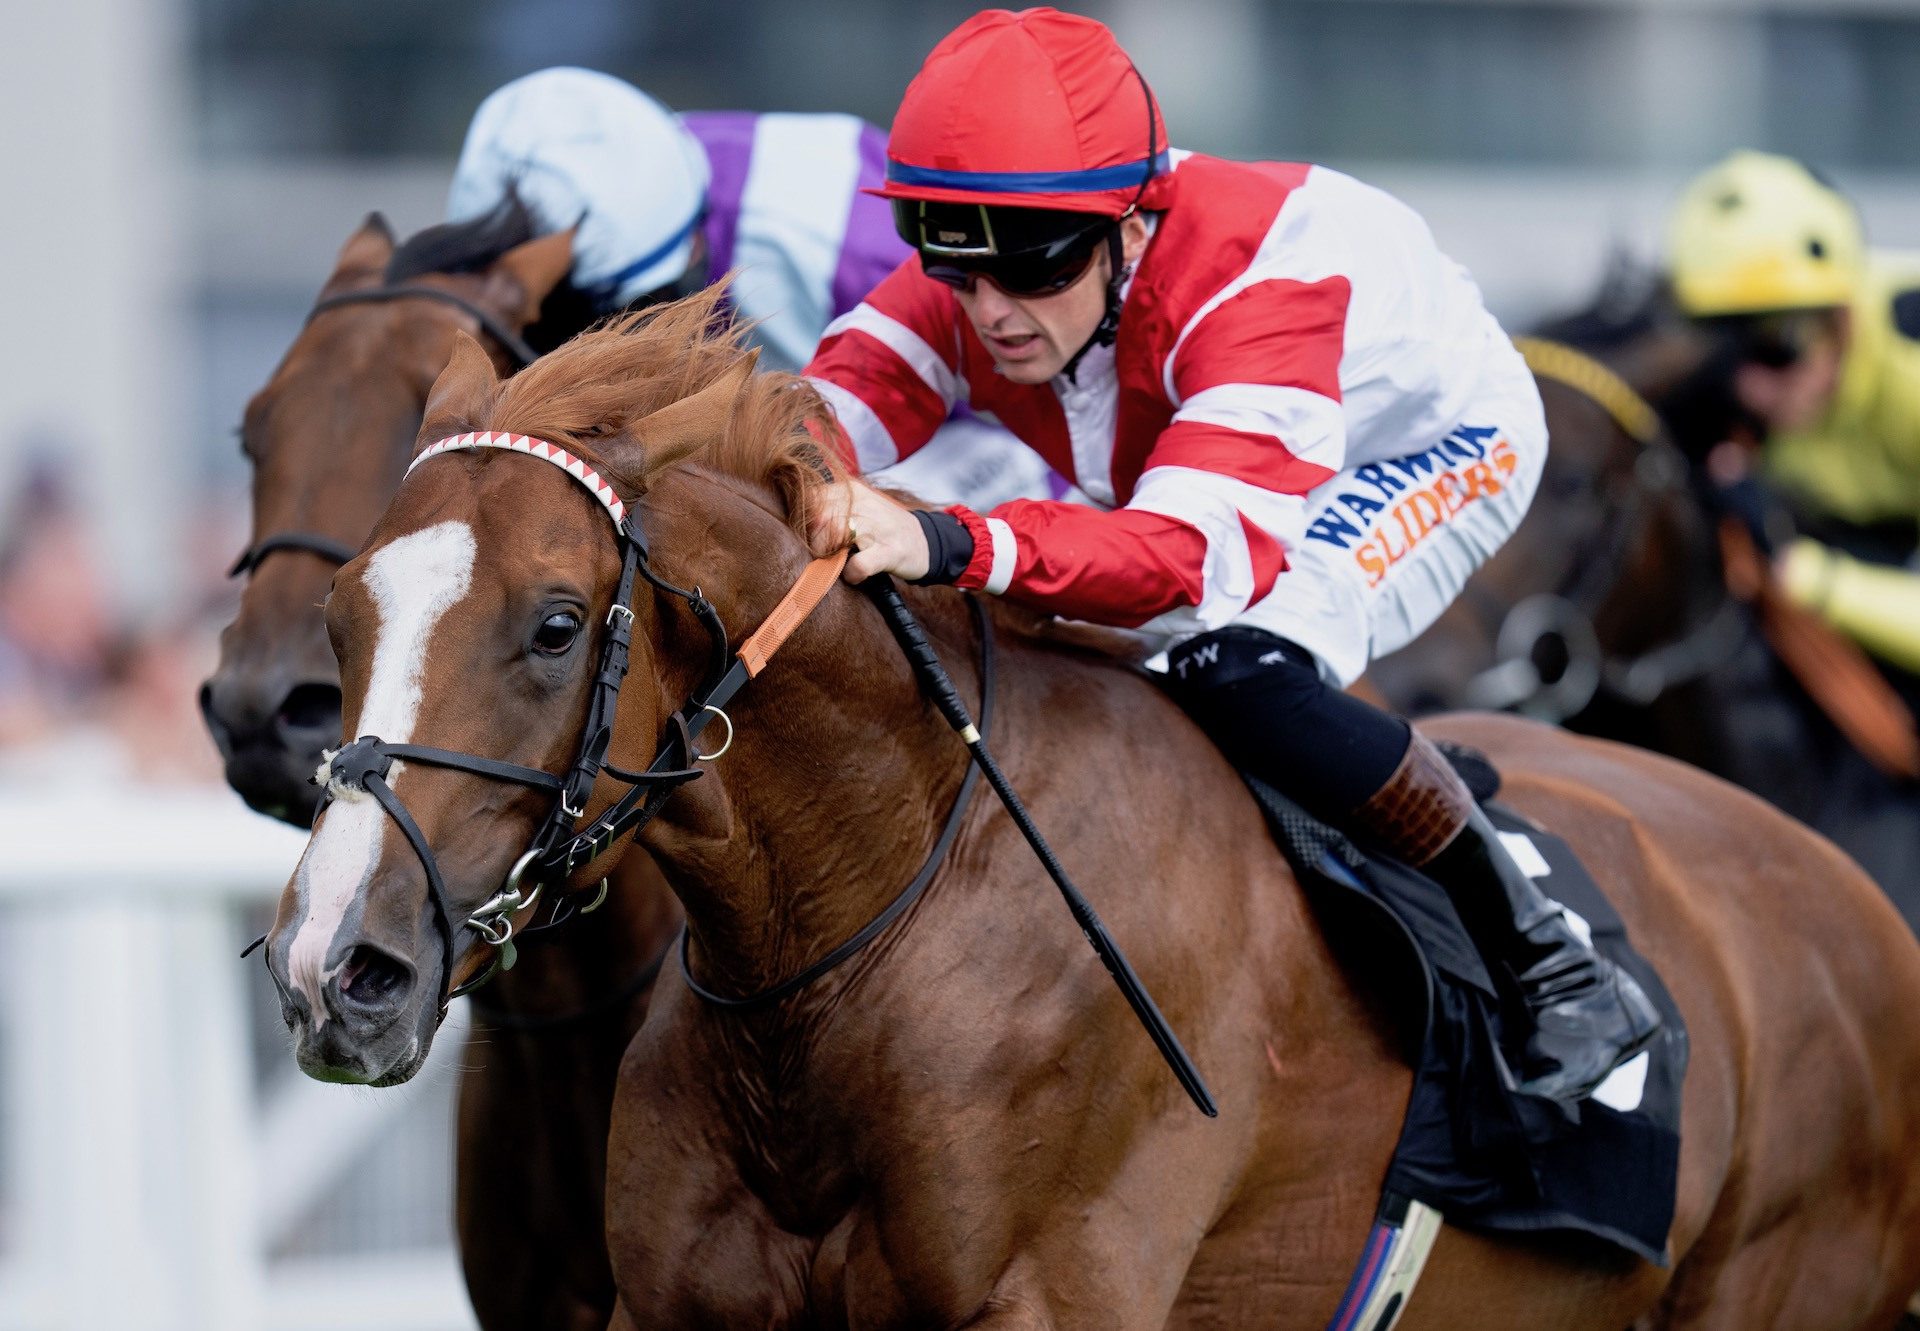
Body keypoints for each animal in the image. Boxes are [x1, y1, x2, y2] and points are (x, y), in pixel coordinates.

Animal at [274, 293, 1920, 1329]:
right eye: (349, 614)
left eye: (557, 624)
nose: (334, 967)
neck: (865, 936)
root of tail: (1848, 900)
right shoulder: (665, 1300)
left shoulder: (1049, 1295)